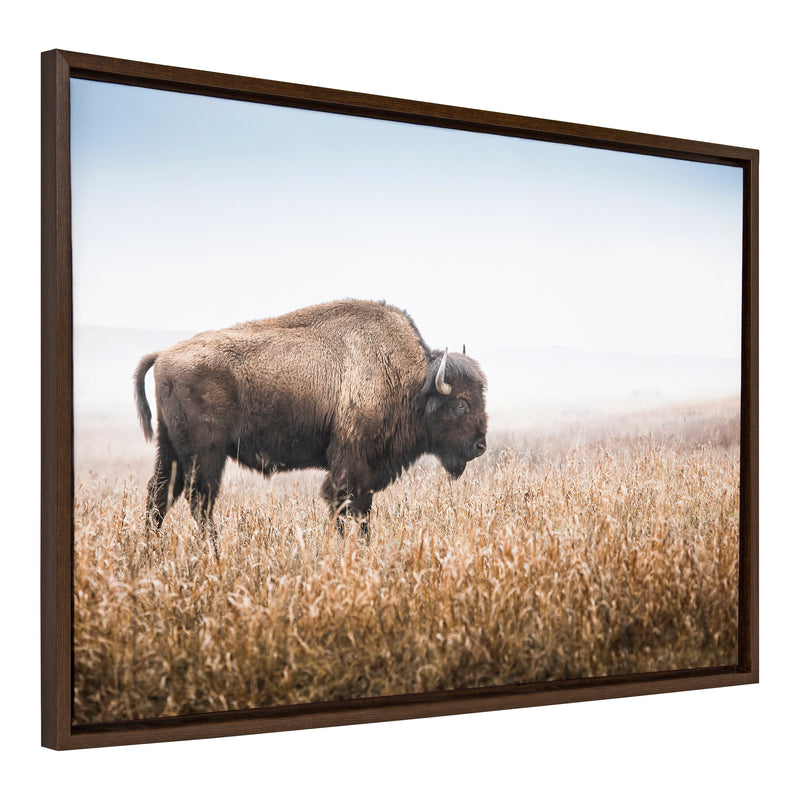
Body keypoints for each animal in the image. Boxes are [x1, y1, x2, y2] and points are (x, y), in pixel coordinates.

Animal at [134, 299, 487, 551]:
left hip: (171, 449)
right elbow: (343, 504)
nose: (480, 446)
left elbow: (362, 510)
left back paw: (151, 548)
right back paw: (213, 551)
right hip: (205, 454)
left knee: (160, 493)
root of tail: (163, 354)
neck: (409, 381)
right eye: (460, 403)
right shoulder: (350, 462)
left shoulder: (367, 471)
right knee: (200, 500)